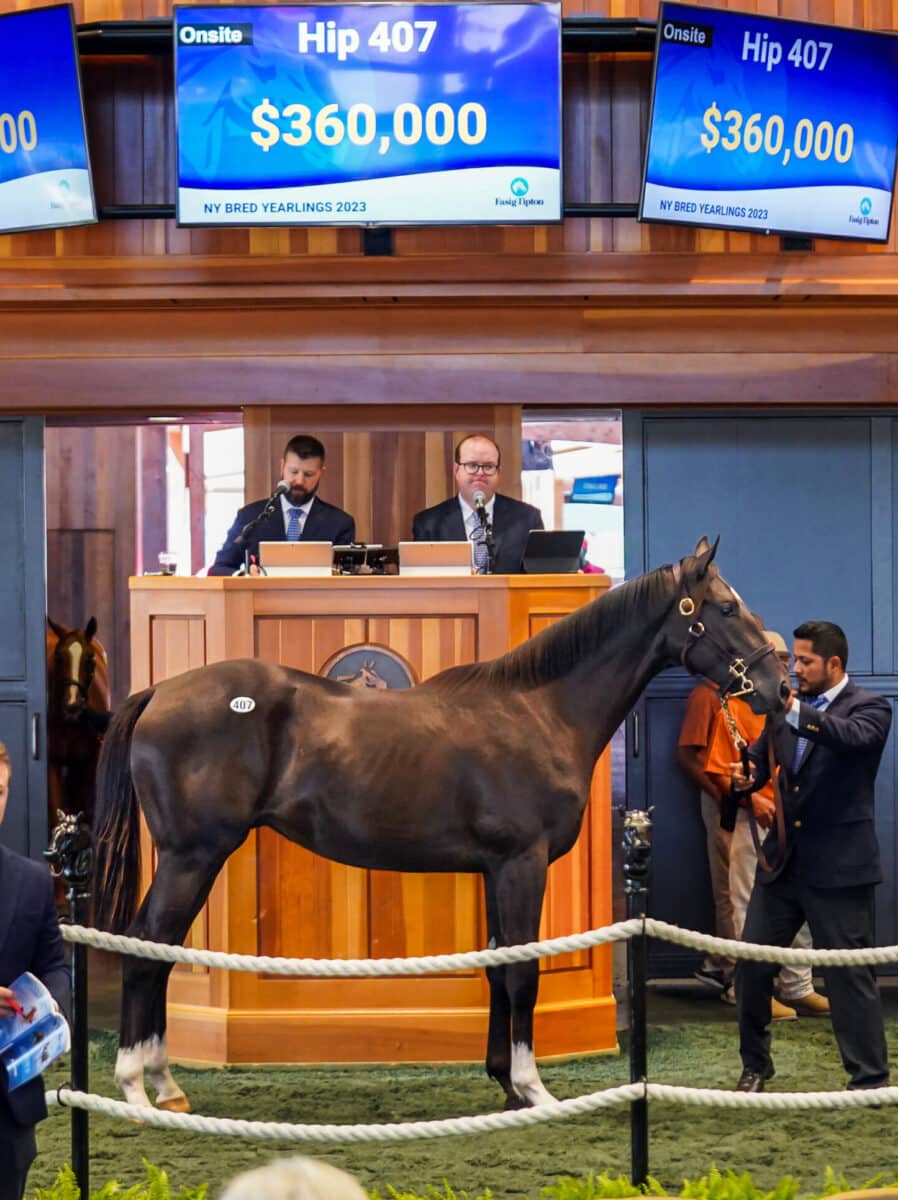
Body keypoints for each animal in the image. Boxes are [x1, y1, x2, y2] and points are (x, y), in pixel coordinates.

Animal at [94, 540, 787, 1108]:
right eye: (726, 607)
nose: (779, 687)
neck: (539, 711)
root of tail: (159, 694)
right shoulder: (521, 864)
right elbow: (523, 973)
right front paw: (534, 1088)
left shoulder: (495, 869)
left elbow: (499, 964)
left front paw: (505, 1081)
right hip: (192, 855)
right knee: (145, 946)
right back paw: (136, 1086)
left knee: (157, 949)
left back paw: (165, 1084)